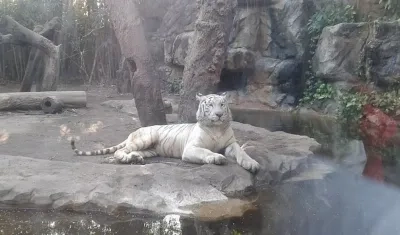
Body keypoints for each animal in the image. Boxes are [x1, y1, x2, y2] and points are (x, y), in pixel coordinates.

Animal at [70, 92, 260, 173]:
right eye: (210, 105)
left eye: (222, 104)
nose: (219, 115)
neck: (217, 128)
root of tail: (133, 132)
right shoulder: (191, 148)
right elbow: (205, 151)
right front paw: (216, 157)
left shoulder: (231, 143)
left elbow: (241, 151)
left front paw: (252, 164)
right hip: (147, 137)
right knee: (119, 151)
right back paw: (126, 158)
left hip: (150, 150)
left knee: (134, 152)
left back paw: (135, 158)